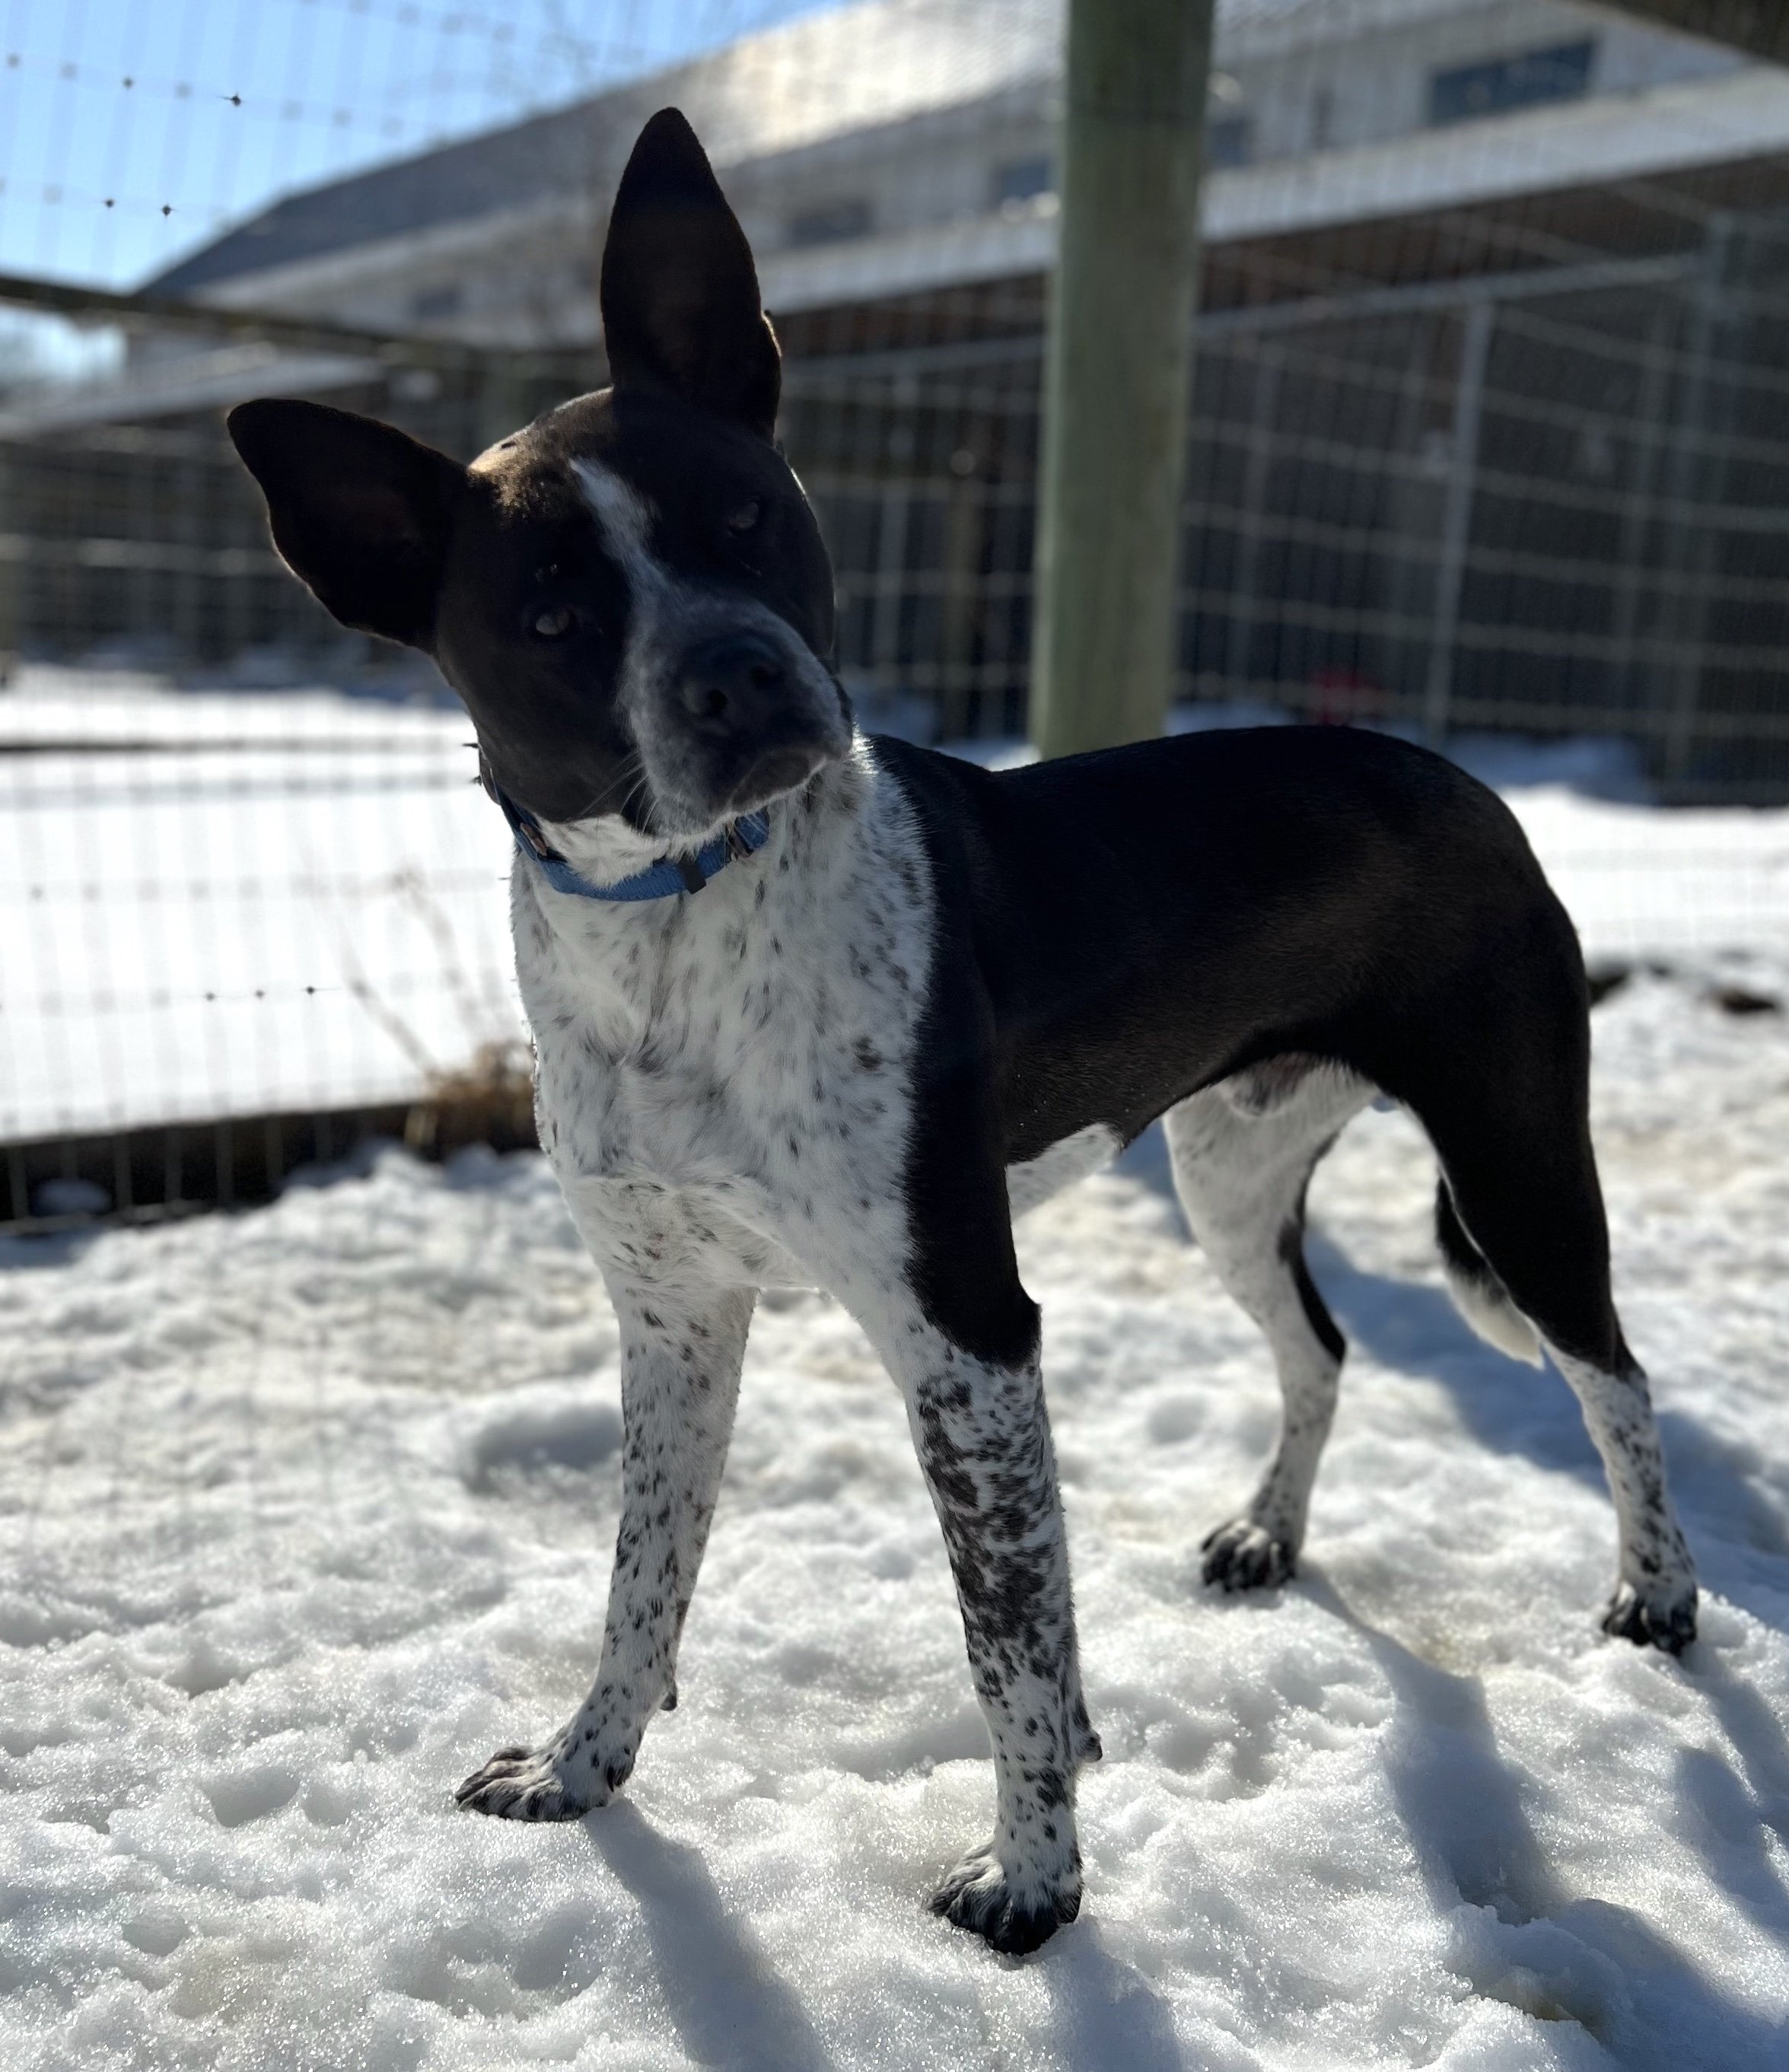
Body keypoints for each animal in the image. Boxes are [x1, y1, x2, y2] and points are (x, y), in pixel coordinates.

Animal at [228, 107, 1698, 1956]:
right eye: (552, 615)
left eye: (750, 518)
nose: (740, 678)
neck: (679, 929)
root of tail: (1463, 780)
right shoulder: (674, 1319)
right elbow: (643, 1577)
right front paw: (584, 1767)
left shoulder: (969, 1337)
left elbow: (1009, 1638)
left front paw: (1035, 1878)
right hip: (1228, 1171)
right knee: (1319, 1345)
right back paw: (1269, 1536)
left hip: (1512, 1161)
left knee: (1614, 1372)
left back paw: (1657, 1594)